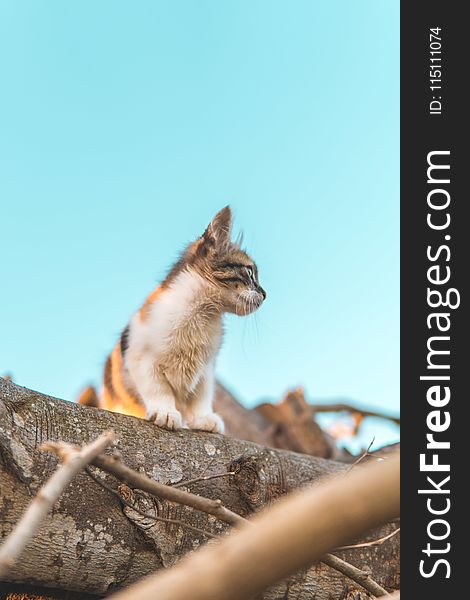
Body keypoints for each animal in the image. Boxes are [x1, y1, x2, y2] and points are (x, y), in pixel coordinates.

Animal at [79, 206, 266, 432]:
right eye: (249, 272)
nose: (265, 294)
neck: (203, 314)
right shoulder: (141, 358)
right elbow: (158, 389)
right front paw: (165, 412)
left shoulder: (206, 370)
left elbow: (202, 396)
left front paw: (203, 418)